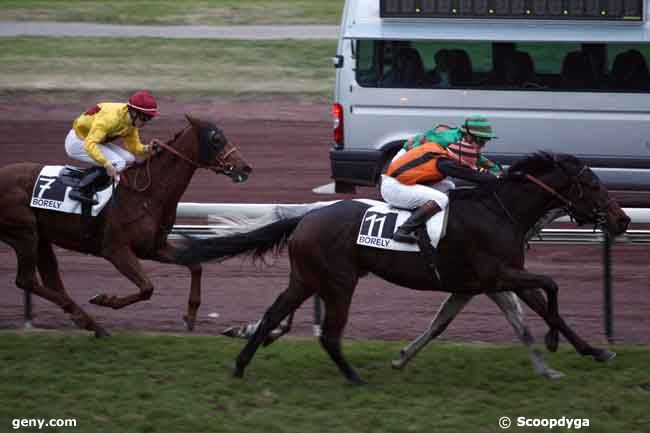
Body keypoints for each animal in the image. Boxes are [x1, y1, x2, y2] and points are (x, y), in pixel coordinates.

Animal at [0, 113, 251, 336]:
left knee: (51, 281)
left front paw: (190, 315)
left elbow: (195, 265)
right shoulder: (115, 249)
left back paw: (88, 322)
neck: (147, 194)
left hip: (41, 237)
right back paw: (89, 321)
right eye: (216, 139)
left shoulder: (154, 248)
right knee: (26, 279)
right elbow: (147, 288)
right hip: (24, 234)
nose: (245, 168)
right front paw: (104, 299)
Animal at [175, 152, 624, 382]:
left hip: (305, 279)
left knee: (272, 315)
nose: (620, 220)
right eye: (594, 185)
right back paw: (354, 376)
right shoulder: (498, 274)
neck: (500, 212)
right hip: (338, 284)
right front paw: (553, 343)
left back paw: (240, 365)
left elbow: (536, 310)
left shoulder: (486, 281)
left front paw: (594, 351)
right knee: (330, 334)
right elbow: (551, 287)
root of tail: (305, 218)